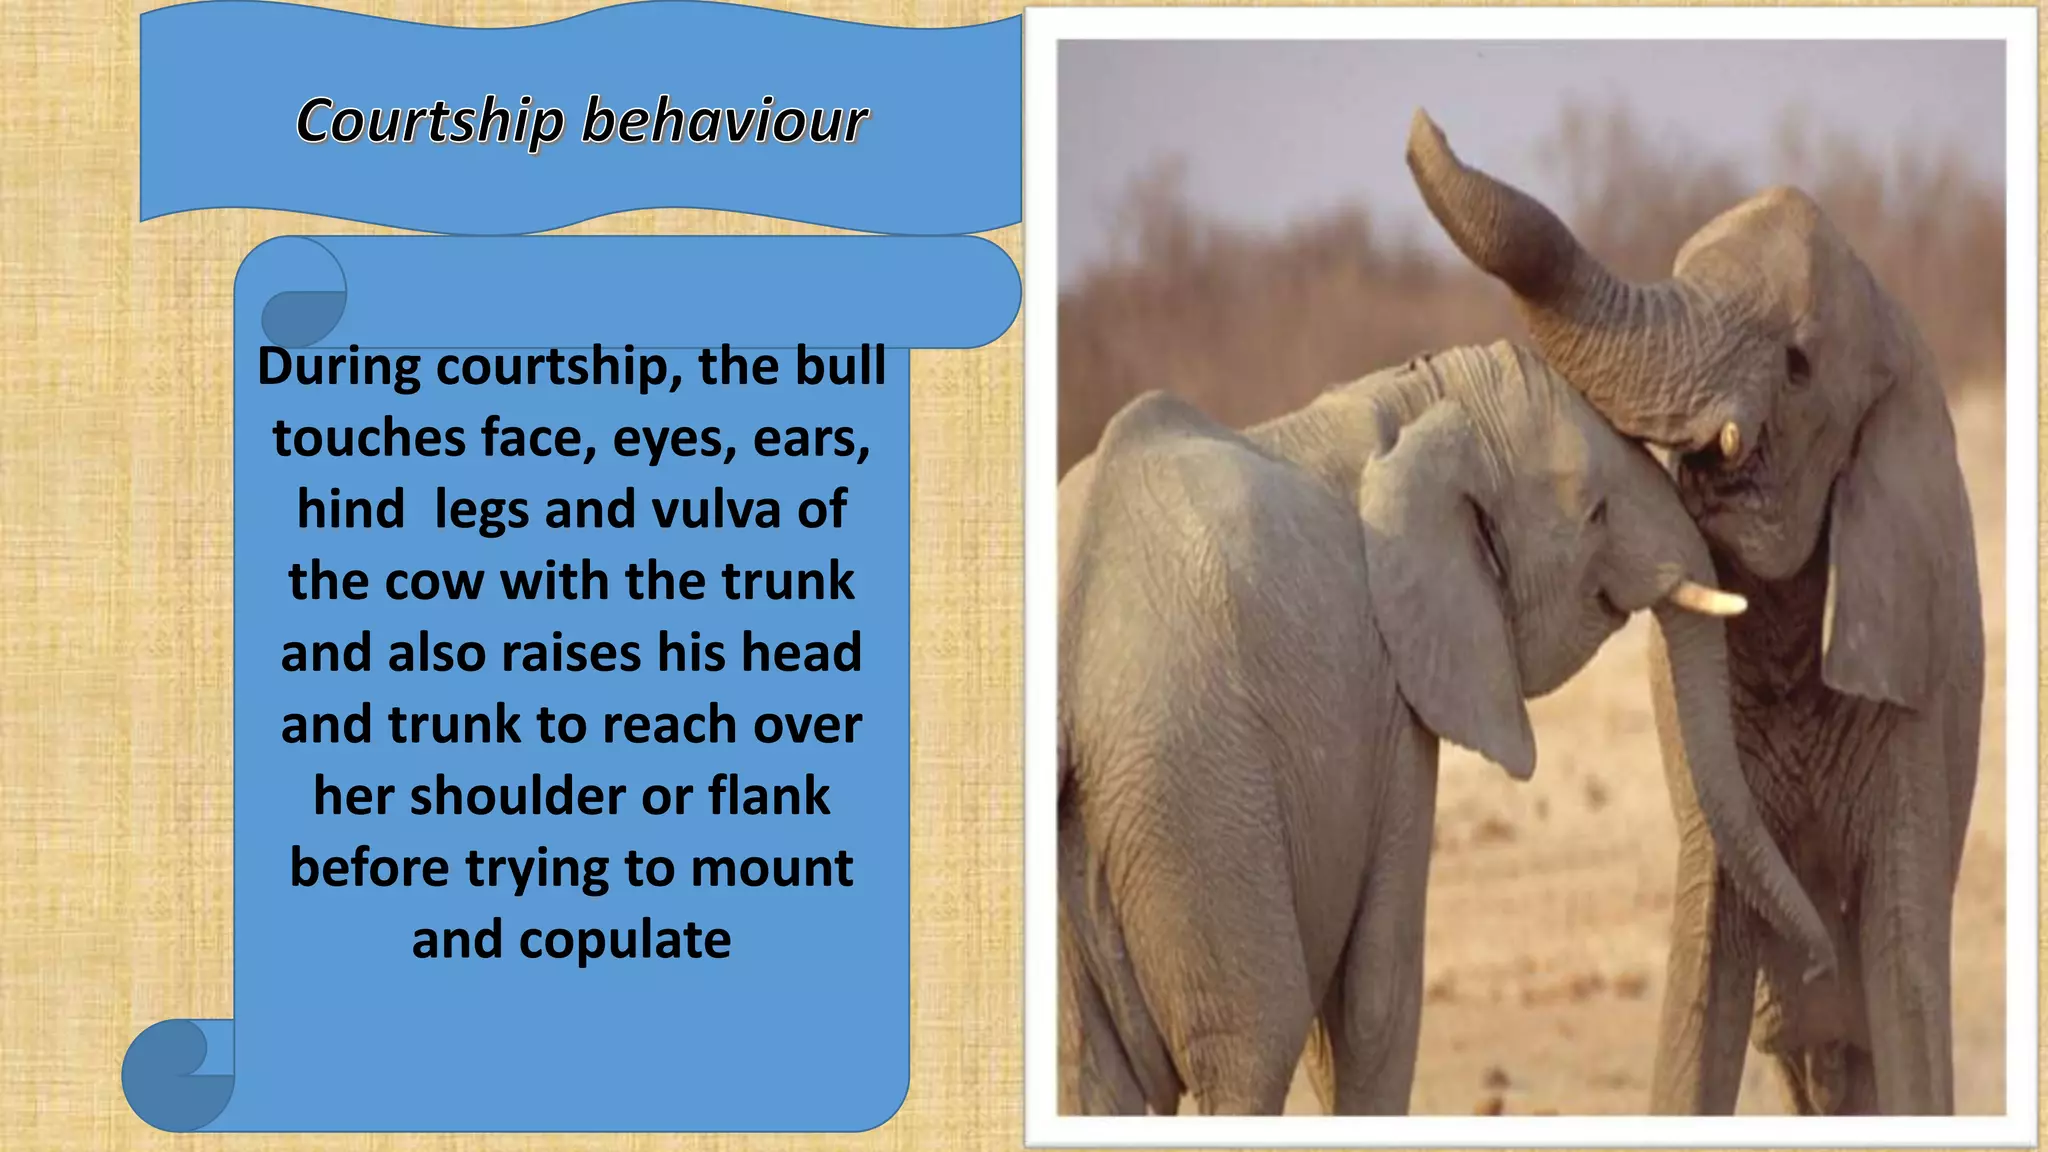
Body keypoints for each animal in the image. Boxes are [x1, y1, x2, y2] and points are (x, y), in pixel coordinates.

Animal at [1057, 339, 1837, 1116]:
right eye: (1595, 514)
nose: (1818, 968)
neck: (1414, 400)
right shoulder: (1391, 701)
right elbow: (1373, 1001)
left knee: (1091, 1074)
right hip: (1194, 792)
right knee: (1250, 1052)